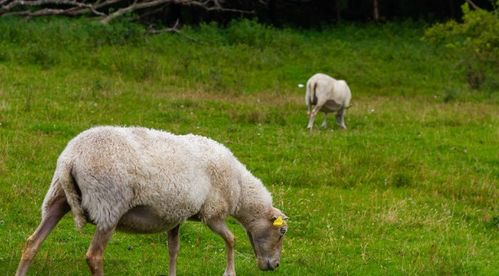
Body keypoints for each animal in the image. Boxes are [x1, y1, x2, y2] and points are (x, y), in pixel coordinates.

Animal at [16, 126, 290, 276]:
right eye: (282, 232)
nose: (275, 265)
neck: (240, 188)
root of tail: (71, 158)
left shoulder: (176, 216)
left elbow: (173, 249)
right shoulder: (213, 212)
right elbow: (232, 239)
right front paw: (229, 272)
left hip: (58, 197)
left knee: (32, 243)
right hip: (108, 206)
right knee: (94, 256)